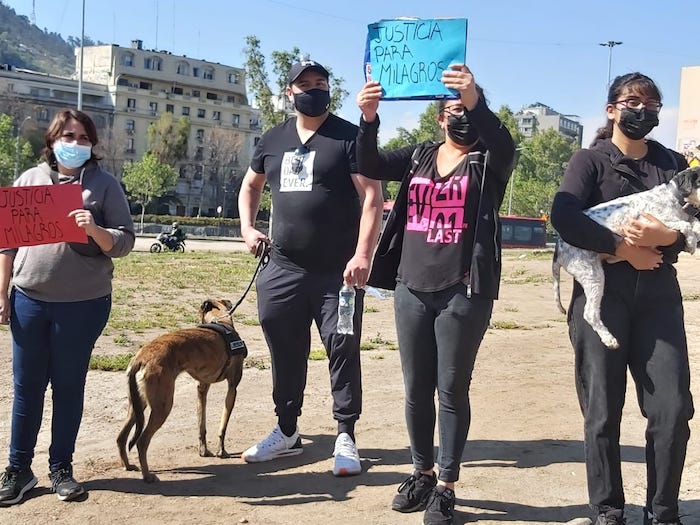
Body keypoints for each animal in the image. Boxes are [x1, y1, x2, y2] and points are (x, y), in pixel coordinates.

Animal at [116, 296, 245, 482]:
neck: (221, 321)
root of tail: (141, 358)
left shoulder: (201, 388)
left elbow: (201, 426)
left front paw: (203, 451)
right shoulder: (232, 388)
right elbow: (223, 425)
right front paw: (221, 451)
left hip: (138, 404)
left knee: (121, 437)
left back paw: (128, 466)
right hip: (163, 406)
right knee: (142, 441)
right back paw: (147, 475)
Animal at [552, 168, 700, 348]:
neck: (674, 198)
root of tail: (558, 247)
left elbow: (695, 221)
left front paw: (694, 234)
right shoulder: (650, 222)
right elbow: (684, 224)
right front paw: (691, 241)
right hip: (592, 274)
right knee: (590, 313)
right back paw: (609, 339)